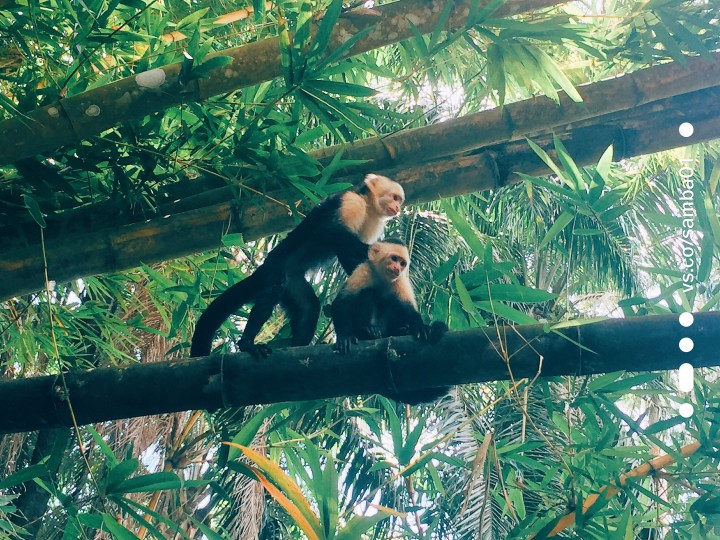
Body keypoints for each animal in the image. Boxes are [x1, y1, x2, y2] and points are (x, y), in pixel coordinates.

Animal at [191, 173, 404, 358]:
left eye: (399, 200)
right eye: (394, 197)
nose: (397, 207)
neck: (368, 206)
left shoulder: (373, 223)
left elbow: (350, 260)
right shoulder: (350, 201)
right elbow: (327, 230)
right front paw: (373, 251)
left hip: (293, 283)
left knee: (308, 307)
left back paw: (298, 347)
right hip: (275, 267)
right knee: (273, 289)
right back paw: (247, 343)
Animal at [332, 238, 450, 402]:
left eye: (402, 263)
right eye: (394, 258)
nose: (398, 268)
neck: (383, 278)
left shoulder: (401, 281)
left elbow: (408, 309)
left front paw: (421, 327)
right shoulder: (363, 270)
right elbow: (343, 301)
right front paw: (344, 337)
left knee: (394, 303)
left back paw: (402, 330)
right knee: (368, 293)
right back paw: (367, 331)